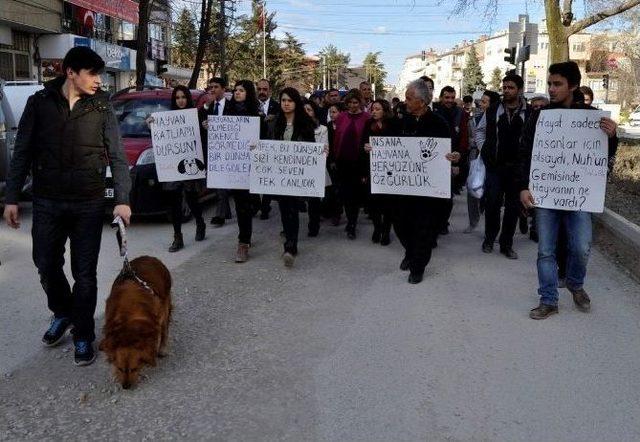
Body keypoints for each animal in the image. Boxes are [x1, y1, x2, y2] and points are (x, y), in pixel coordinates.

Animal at [99, 254, 172, 388]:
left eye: (134, 369)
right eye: (120, 368)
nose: (126, 387)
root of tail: (150, 257)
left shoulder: (156, 322)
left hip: (165, 304)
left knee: (165, 328)